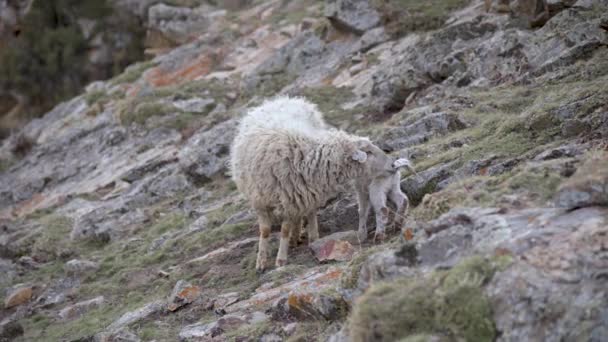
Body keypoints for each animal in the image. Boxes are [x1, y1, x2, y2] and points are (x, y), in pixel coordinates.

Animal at [230, 95, 402, 270]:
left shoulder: (289, 200)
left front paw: (281, 259)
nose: (393, 164)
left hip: (305, 192)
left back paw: (311, 237)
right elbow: (265, 231)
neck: (302, 156)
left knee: (309, 213)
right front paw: (261, 261)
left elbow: (285, 230)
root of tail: (284, 99)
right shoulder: (262, 200)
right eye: (369, 152)